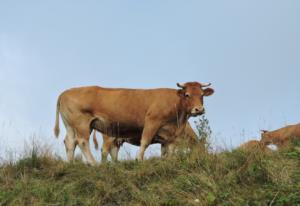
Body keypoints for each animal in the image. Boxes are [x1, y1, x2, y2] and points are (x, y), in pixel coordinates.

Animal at [53, 81, 213, 165]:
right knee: (83, 142)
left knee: (70, 141)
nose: (199, 109)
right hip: (83, 123)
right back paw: (94, 163)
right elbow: (145, 141)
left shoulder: (171, 135)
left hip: (71, 125)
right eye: (187, 95)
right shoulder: (152, 121)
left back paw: (71, 164)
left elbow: (168, 150)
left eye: (202, 95)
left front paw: (168, 161)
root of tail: (65, 92)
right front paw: (139, 159)